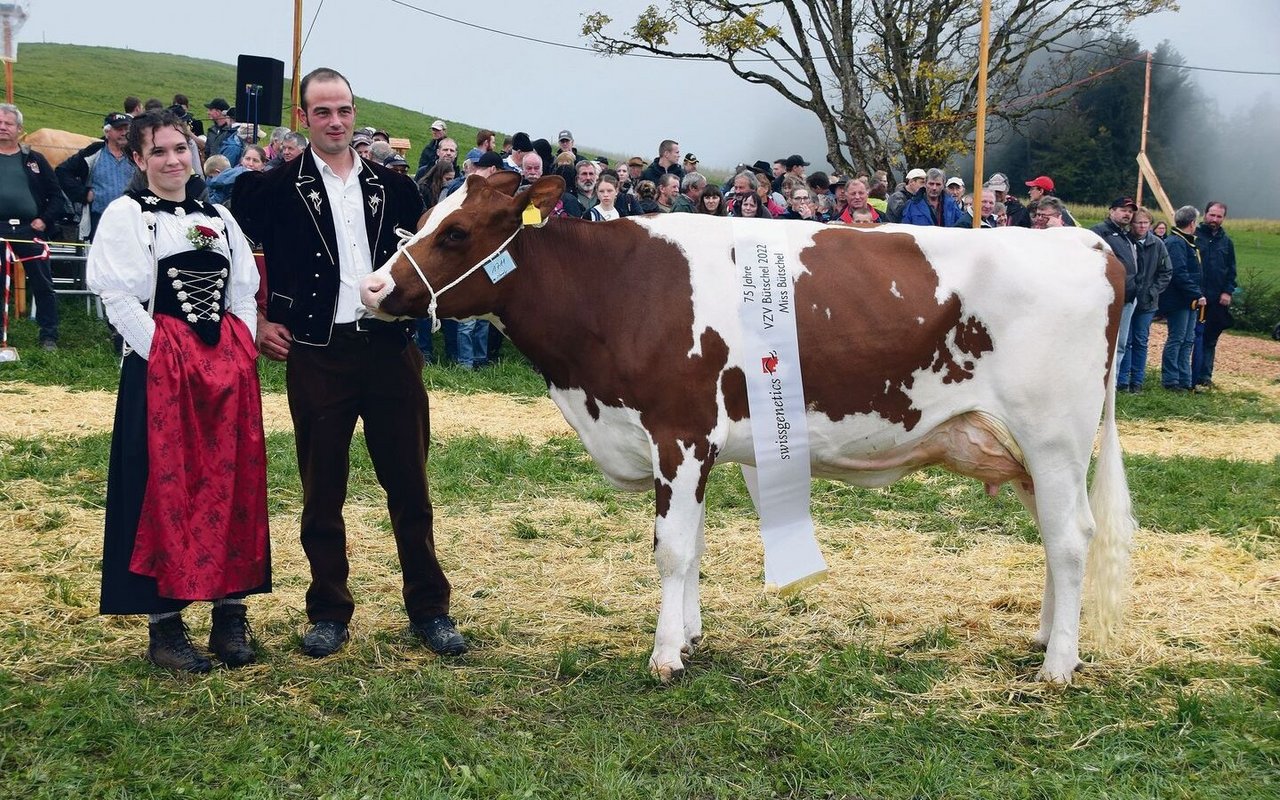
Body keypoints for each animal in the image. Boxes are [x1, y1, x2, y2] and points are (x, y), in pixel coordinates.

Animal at [358, 172, 1131, 680]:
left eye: (456, 232)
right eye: (423, 218)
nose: (370, 287)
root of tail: (1090, 246)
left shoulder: (678, 432)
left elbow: (671, 549)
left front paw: (665, 656)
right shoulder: (690, 447)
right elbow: (693, 546)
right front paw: (690, 636)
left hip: (1055, 436)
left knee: (1071, 538)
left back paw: (1059, 666)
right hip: (1022, 449)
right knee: (1054, 537)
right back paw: (1044, 638)